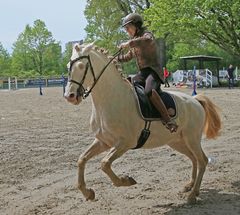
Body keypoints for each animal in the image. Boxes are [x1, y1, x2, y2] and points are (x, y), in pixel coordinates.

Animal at [64, 42, 221, 204]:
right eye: (69, 65)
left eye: (82, 66)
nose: (70, 96)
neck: (111, 99)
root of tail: (195, 100)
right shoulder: (104, 142)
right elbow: (82, 159)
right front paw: (87, 192)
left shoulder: (124, 143)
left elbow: (105, 163)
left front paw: (126, 180)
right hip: (178, 141)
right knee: (194, 158)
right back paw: (190, 186)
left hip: (192, 139)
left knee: (202, 160)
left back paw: (192, 195)